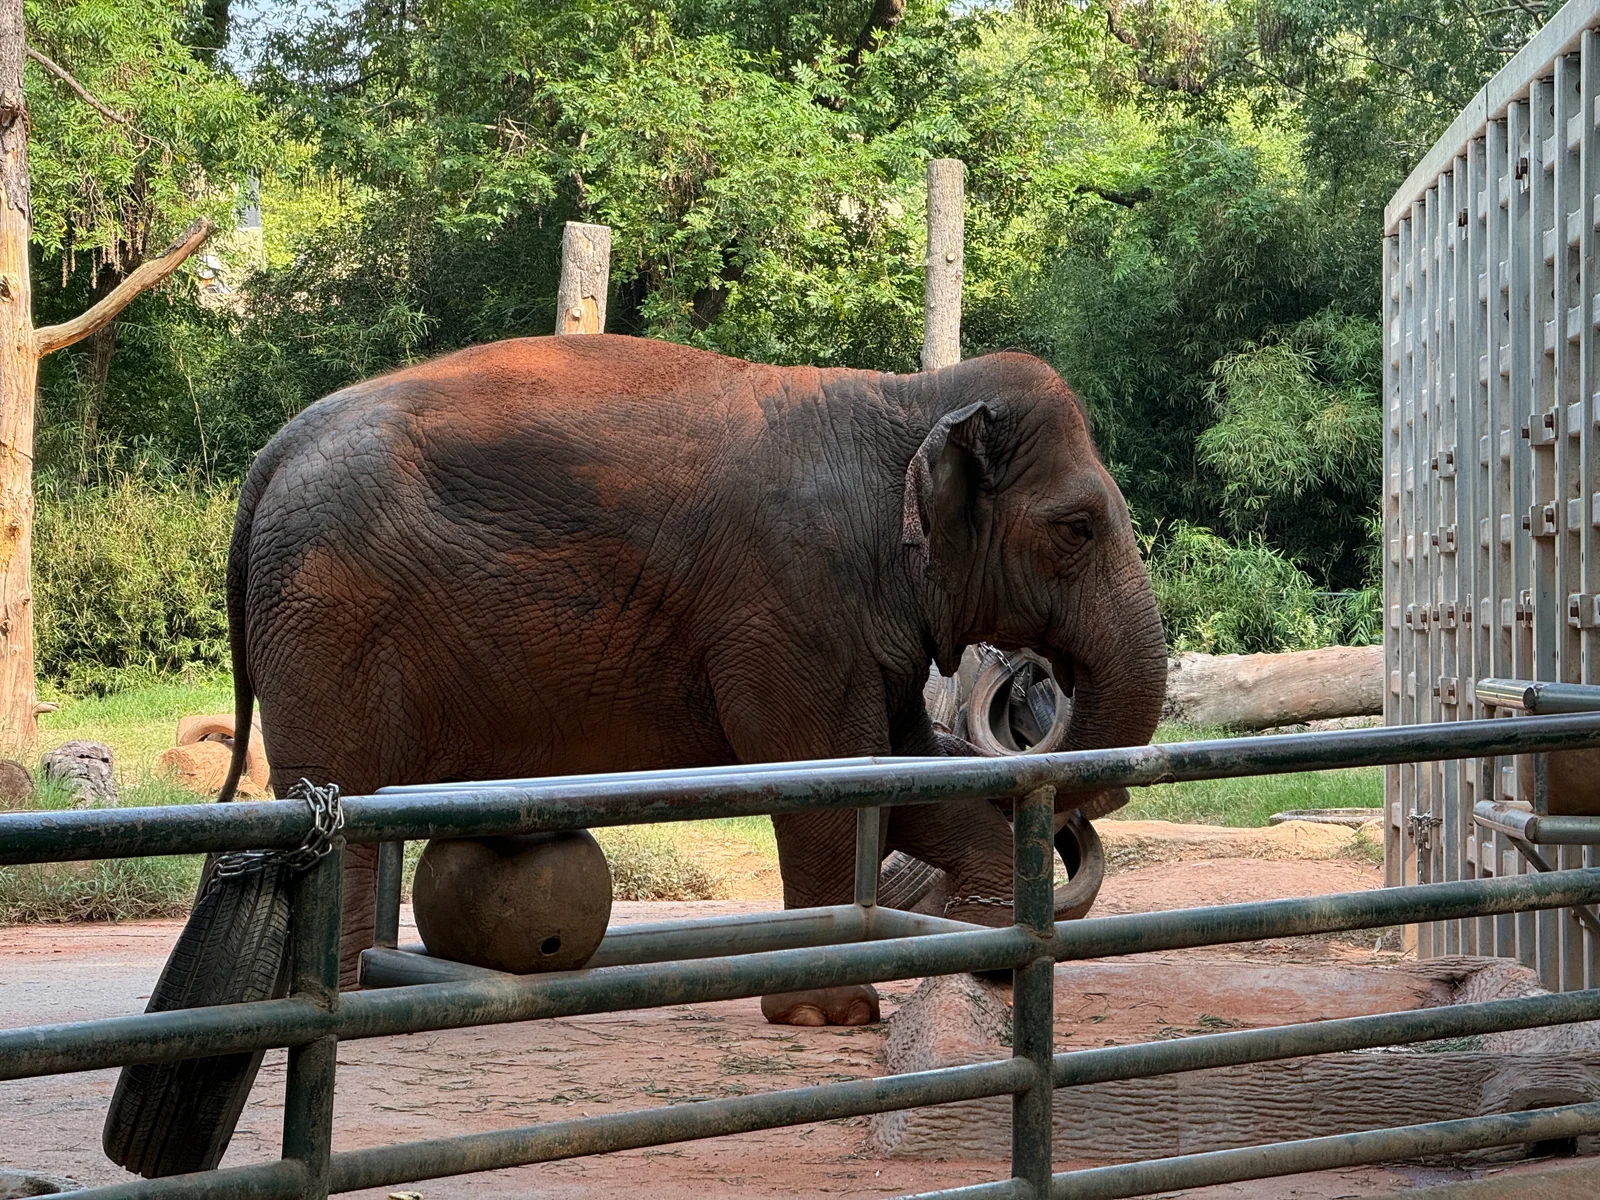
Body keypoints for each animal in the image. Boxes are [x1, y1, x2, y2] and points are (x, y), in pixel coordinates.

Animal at [216, 333, 1168, 1024]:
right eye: (1078, 528)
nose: (1033, 678)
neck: (908, 397)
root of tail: (271, 455)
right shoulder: (793, 600)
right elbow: (824, 780)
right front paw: (830, 1015)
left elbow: (900, 773)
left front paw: (984, 949)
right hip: (329, 615)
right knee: (343, 802)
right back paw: (337, 1010)